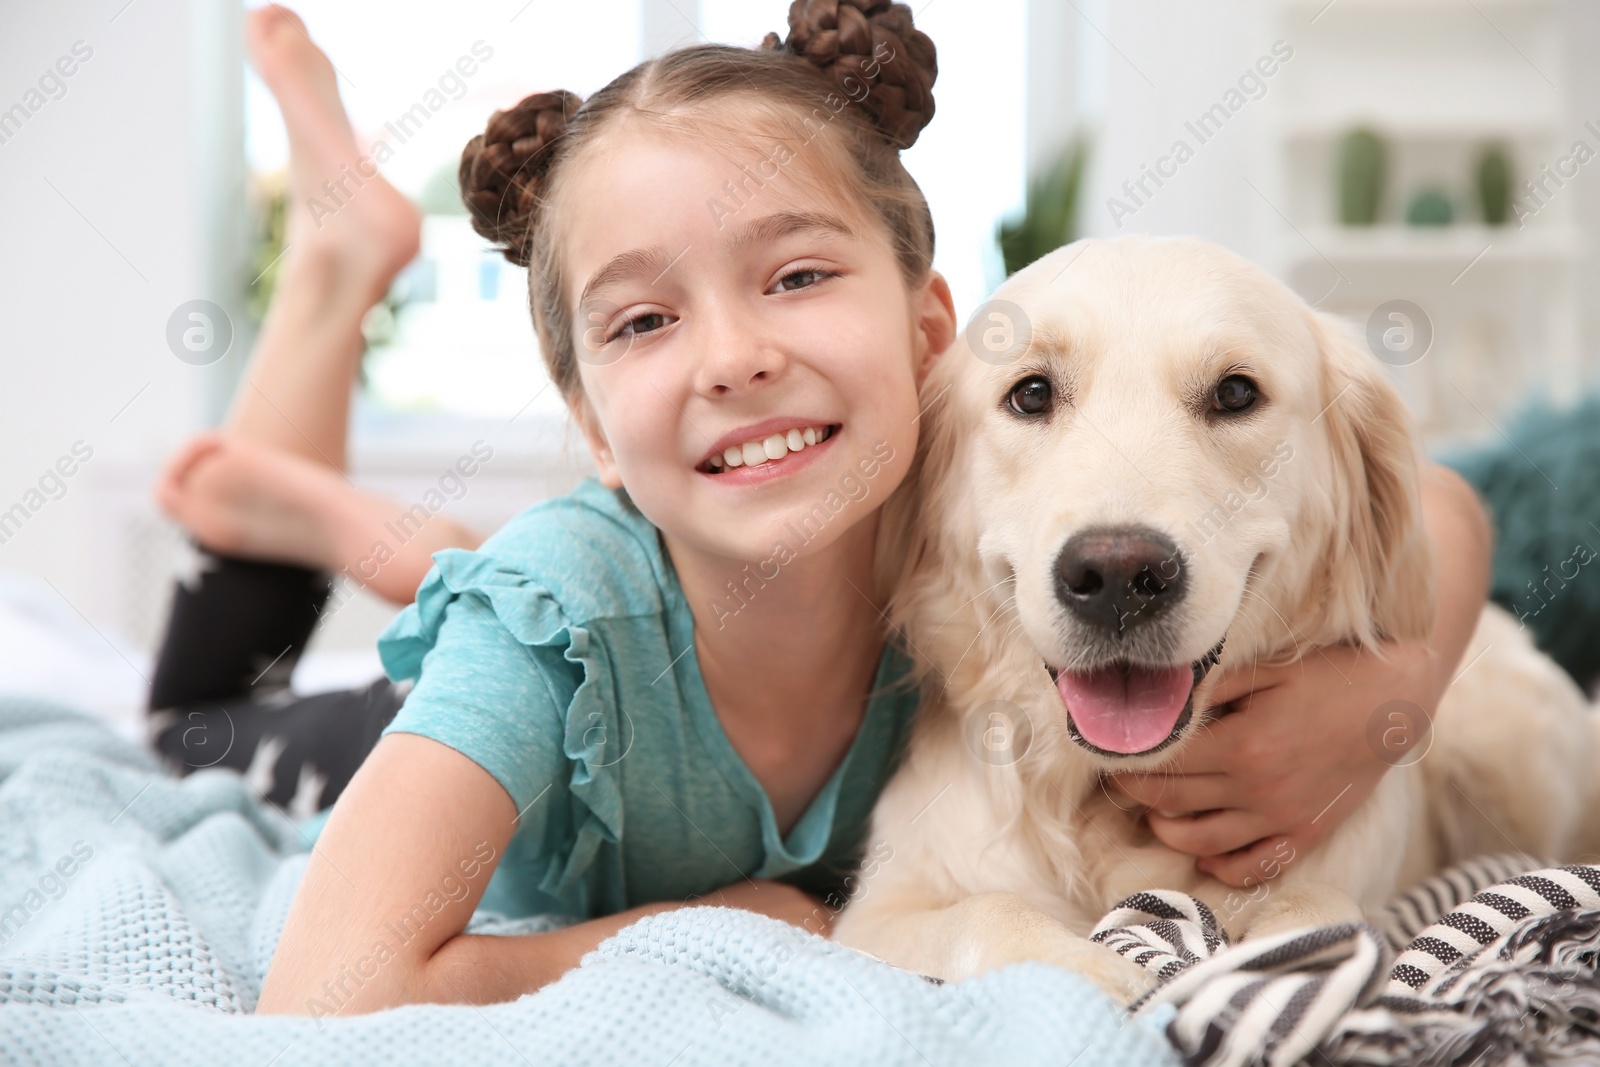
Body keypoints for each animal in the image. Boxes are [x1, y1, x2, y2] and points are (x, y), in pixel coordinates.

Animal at [832, 235, 1600, 1004]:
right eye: (1031, 393)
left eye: (1235, 393)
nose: (1118, 578)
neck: (1105, 800)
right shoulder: (875, 914)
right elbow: (987, 912)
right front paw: (1104, 976)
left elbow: (1317, 908)